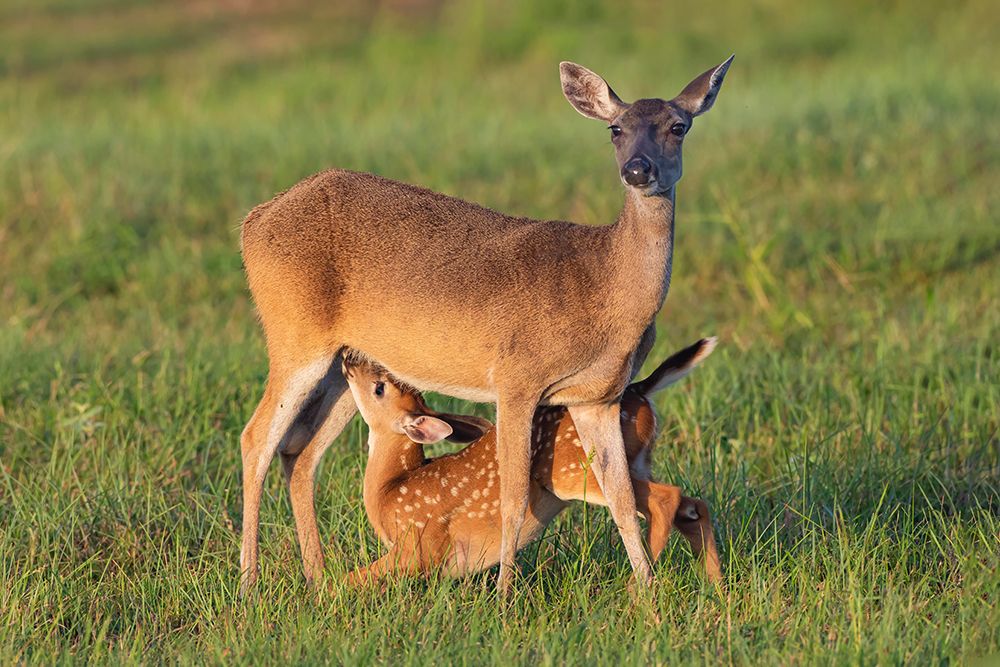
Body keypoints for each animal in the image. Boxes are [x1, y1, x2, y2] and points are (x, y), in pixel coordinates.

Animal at [342, 339, 722, 585]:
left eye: (379, 388)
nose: (349, 358)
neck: (391, 487)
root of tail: (641, 390)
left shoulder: (419, 546)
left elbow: (354, 578)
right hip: (637, 461)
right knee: (693, 505)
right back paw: (716, 585)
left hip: (574, 473)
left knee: (664, 498)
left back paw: (643, 581)